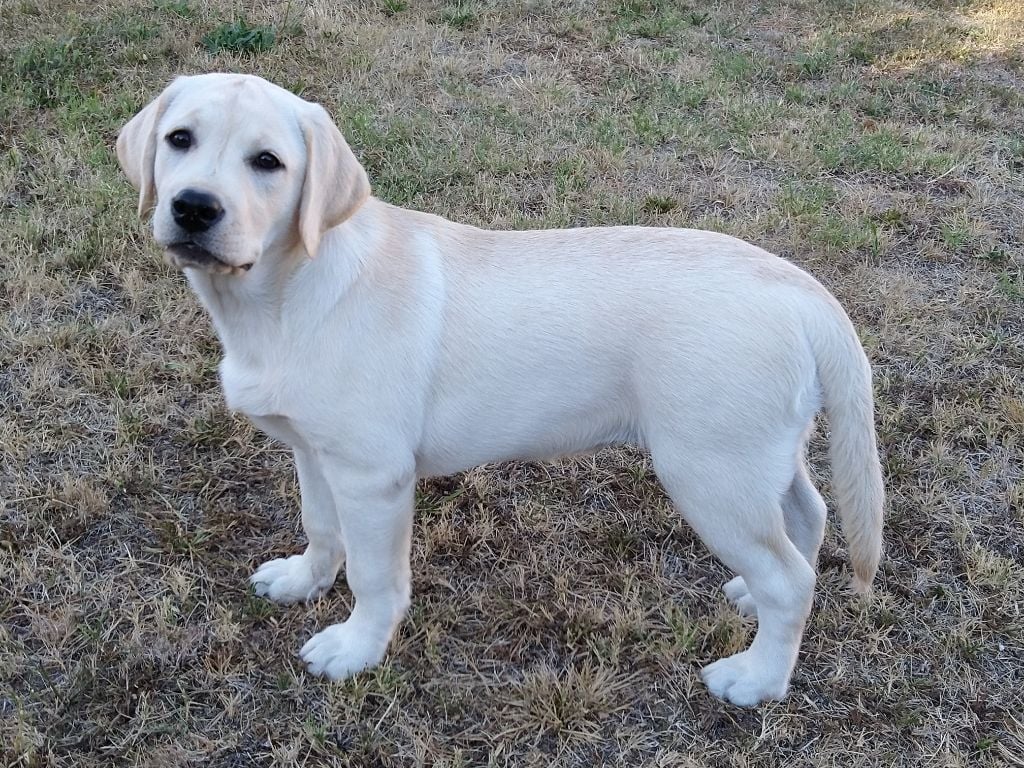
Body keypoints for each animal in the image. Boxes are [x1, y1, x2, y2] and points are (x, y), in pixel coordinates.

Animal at [117, 73, 884, 707]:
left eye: (268, 163)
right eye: (179, 139)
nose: (193, 208)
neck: (287, 290)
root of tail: (801, 289)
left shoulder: (373, 475)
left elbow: (374, 576)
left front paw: (355, 649)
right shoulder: (315, 451)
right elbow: (320, 526)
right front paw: (304, 581)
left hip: (710, 469)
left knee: (792, 579)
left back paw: (757, 679)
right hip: (760, 457)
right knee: (807, 521)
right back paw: (748, 598)